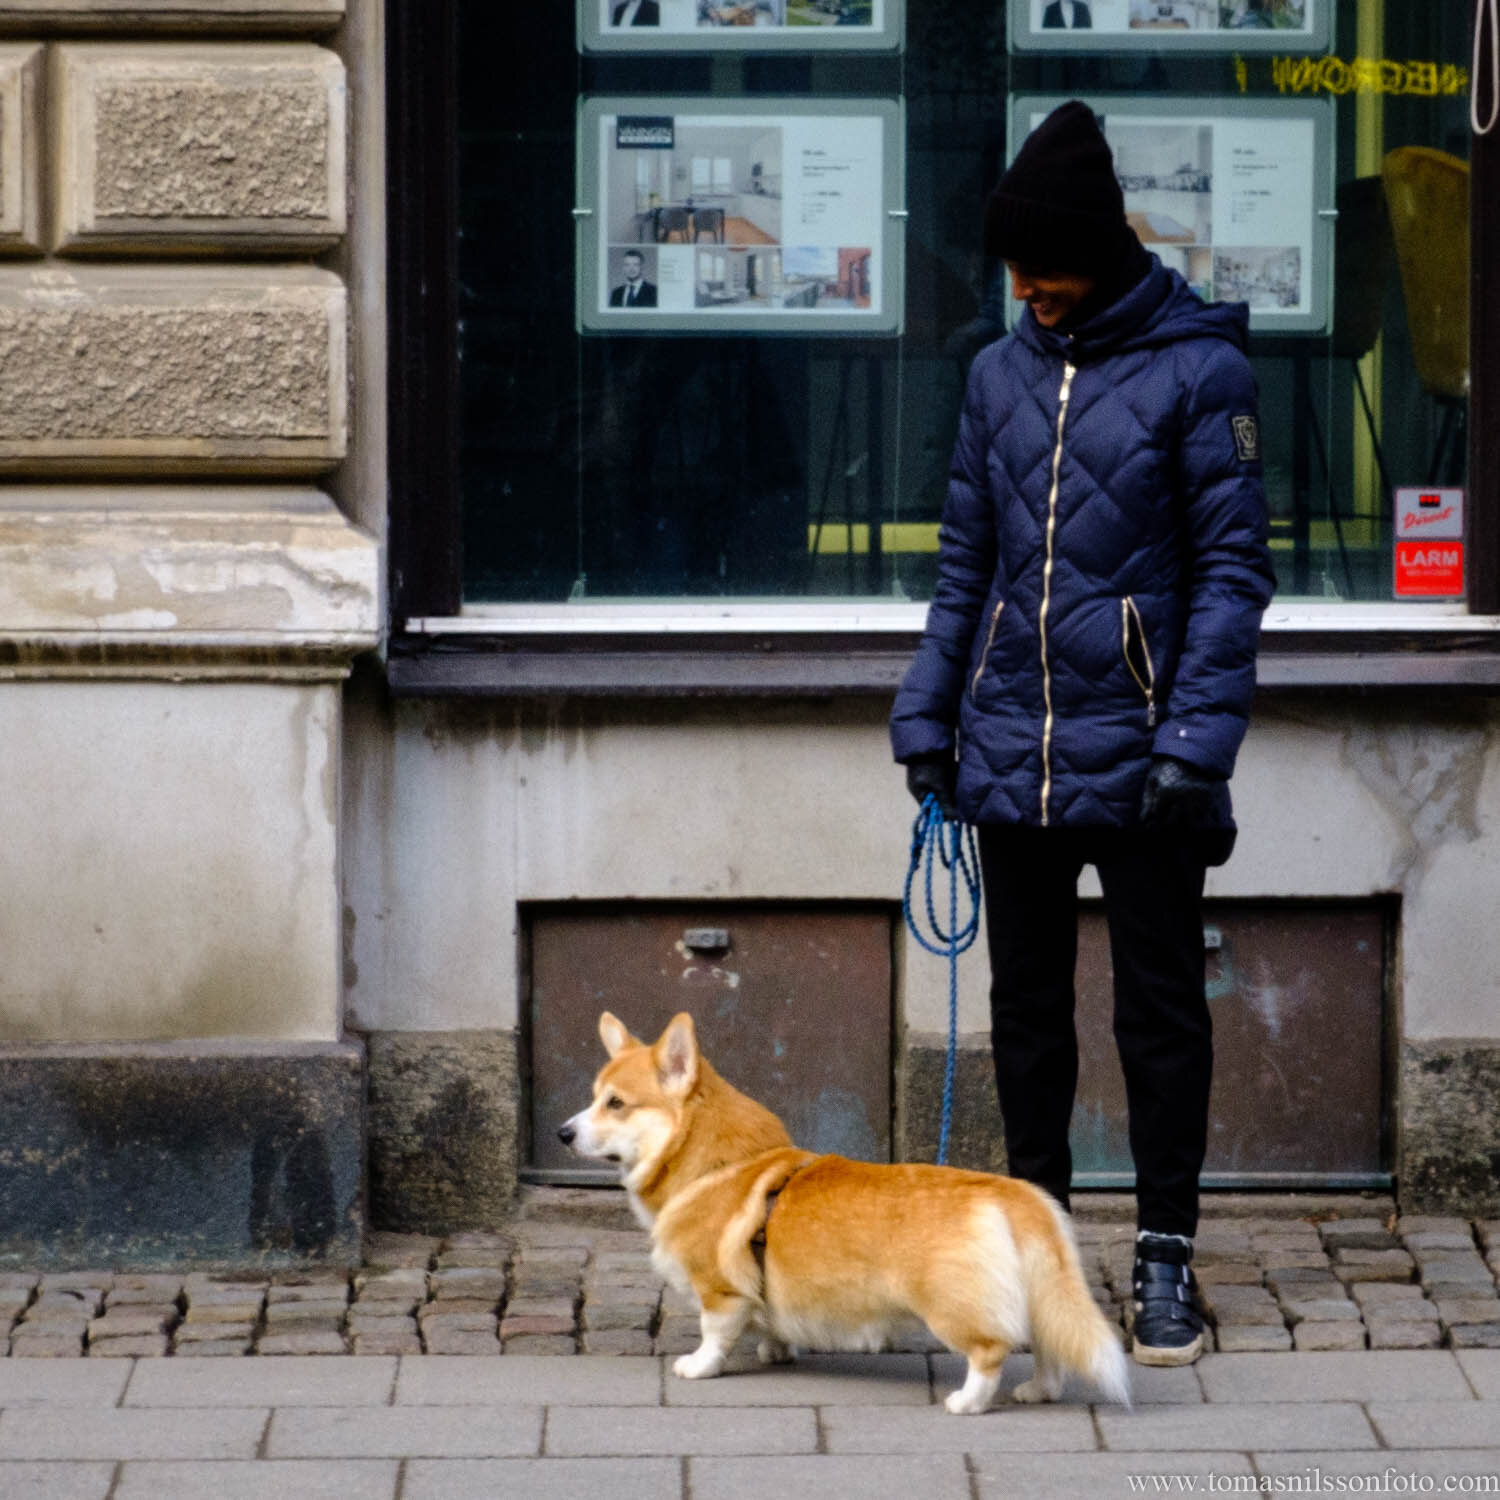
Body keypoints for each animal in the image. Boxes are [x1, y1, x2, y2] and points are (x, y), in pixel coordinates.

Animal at [558, 1014, 1128, 1410]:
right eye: (594, 1097)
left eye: (615, 1104)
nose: (562, 1133)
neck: (718, 1162)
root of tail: (1018, 1196)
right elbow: (770, 1323)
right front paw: (777, 1352)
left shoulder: (719, 1291)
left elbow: (715, 1334)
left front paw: (698, 1367)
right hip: (1039, 1294)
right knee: (1048, 1343)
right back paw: (1040, 1391)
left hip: (952, 1307)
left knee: (990, 1352)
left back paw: (967, 1403)